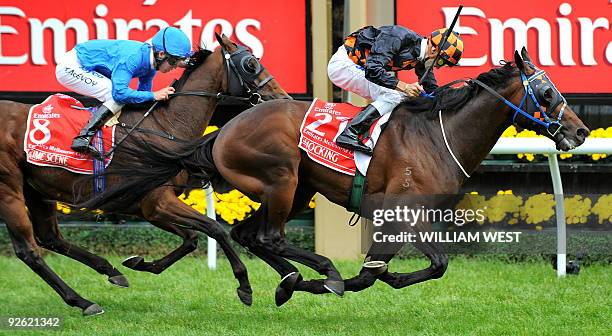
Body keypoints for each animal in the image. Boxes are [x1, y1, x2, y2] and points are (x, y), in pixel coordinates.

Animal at [0, 34, 290, 316]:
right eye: (250, 64)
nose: (283, 98)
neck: (165, 127)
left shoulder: (150, 208)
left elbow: (190, 239)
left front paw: (140, 263)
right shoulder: (159, 202)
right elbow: (214, 227)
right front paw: (244, 285)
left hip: (37, 189)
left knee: (50, 238)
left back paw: (109, 272)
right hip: (9, 189)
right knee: (29, 251)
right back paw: (83, 301)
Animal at [80, 48, 588, 308]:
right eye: (546, 92)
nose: (581, 132)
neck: (437, 134)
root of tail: (224, 128)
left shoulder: (410, 217)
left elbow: (407, 269)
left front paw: (377, 278)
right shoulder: (399, 214)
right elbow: (395, 270)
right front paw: (339, 281)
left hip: (293, 188)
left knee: (248, 234)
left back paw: (286, 280)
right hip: (282, 180)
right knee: (266, 235)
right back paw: (311, 275)